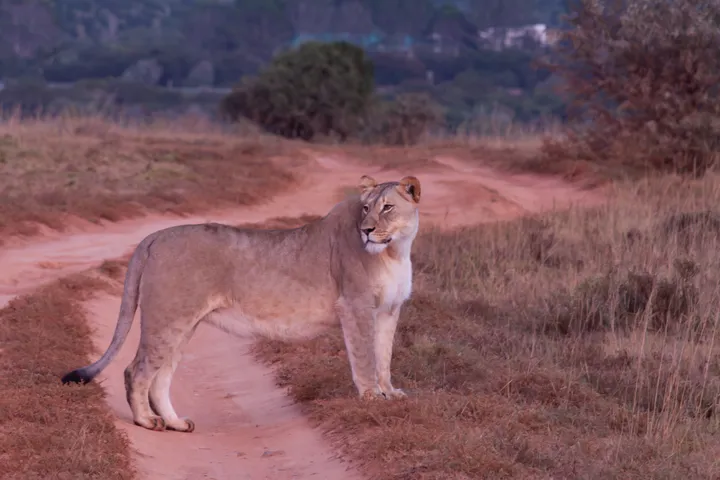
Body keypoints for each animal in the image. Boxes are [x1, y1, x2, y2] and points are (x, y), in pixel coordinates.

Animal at [62, 174, 422, 433]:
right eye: (366, 209)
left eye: (387, 207)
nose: (367, 231)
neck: (394, 251)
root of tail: (153, 237)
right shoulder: (355, 306)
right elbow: (364, 359)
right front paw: (372, 399)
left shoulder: (388, 311)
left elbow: (384, 356)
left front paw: (390, 393)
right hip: (167, 319)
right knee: (135, 371)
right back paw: (147, 422)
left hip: (183, 325)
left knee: (160, 379)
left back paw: (177, 423)